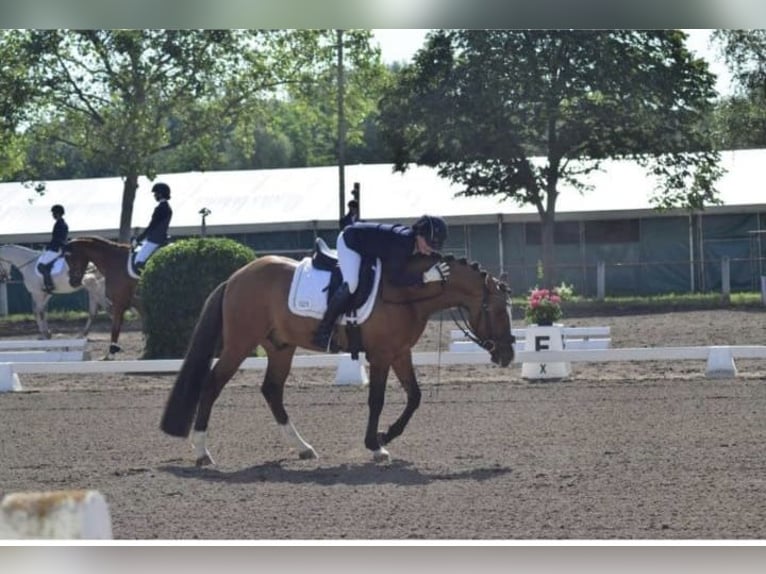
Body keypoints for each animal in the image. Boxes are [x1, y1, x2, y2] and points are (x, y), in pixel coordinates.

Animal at [160, 252, 516, 468]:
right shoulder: (382, 355)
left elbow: (415, 396)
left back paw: (303, 447)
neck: (407, 292)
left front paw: (386, 436)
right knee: (212, 385)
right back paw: (203, 452)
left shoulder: (400, 352)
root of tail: (235, 278)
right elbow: (377, 399)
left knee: (272, 390)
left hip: (280, 347)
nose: (508, 355)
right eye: (499, 311)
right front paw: (376, 445)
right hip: (239, 344)